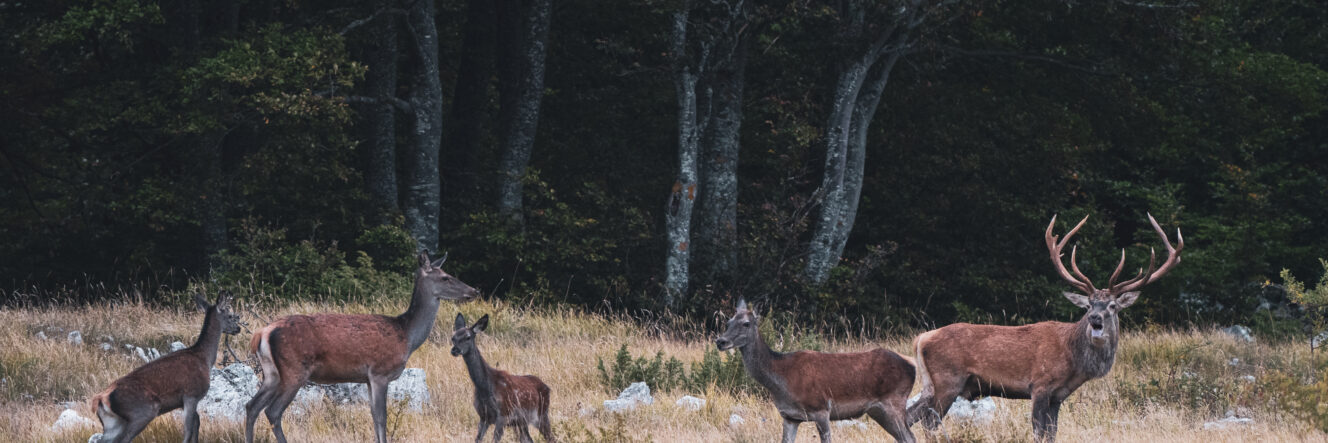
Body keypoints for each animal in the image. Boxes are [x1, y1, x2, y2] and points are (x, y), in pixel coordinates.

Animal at [89, 291, 243, 440]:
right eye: (230, 315)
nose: (238, 329)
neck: (204, 358)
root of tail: (101, 399)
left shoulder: (182, 402)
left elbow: (196, 424)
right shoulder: (191, 394)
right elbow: (188, 430)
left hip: (112, 422)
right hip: (143, 412)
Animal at [247, 252, 480, 443]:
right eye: (445, 277)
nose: (474, 290)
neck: (407, 335)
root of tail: (263, 333)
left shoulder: (367, 379)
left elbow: (373, 416)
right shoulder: (380, 373)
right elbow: (382, 416)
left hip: (271, 373)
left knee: (252, 406)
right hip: (294, 370)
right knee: (273, 411)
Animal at [717, 299, 913, 440]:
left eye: (746, 323)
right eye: (728, 321)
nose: (721, 341)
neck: (782, 379)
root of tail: (912, 366)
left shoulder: (821, 409)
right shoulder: (789, 417)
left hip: (894, 402)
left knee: (909, 437)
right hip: (877, 411)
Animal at [913, 212, 1184, 440]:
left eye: (1113, 306)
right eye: (1089, 305)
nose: (1095, 319)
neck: (1073, 359)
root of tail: (921, 338)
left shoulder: (1058, 396)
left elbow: (1052, 434)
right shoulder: (1040, 384)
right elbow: (1038, 432)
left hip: (930, 384)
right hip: (948, 380)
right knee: (929, 421)